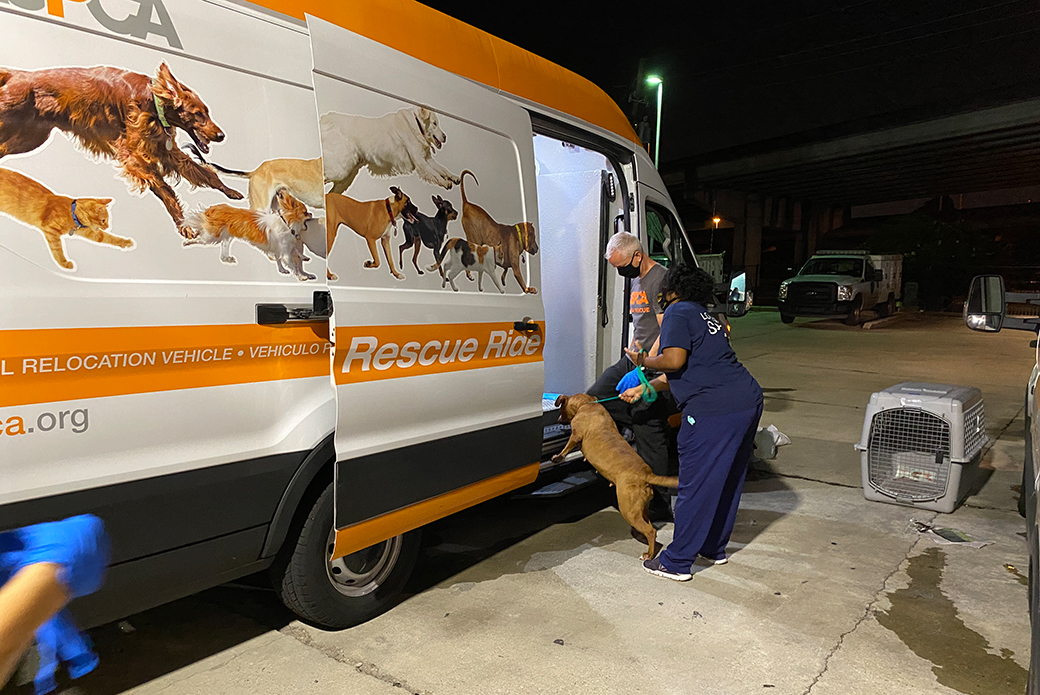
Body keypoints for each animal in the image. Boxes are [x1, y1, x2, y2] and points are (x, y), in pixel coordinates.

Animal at [0, 62, 241, 236]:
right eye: (198, 113)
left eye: (207, 112)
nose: (221, 135)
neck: (152, 102)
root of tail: (15, 75)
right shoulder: (133, 155)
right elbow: (166, 189)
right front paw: (184, 226)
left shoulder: (164, 150)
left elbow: (204, 173)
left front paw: (230, 191)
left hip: (28, 138)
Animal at [553, 391, 673, 557]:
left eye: (561, 409)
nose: (558, 419)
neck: (588, 404)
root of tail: (646, 475)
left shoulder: (576, 435)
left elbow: (565, 449)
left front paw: (557, 457)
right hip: (641, 509)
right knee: (649, 527)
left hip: (629, 510)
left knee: (651, 531)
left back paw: (648, 555)